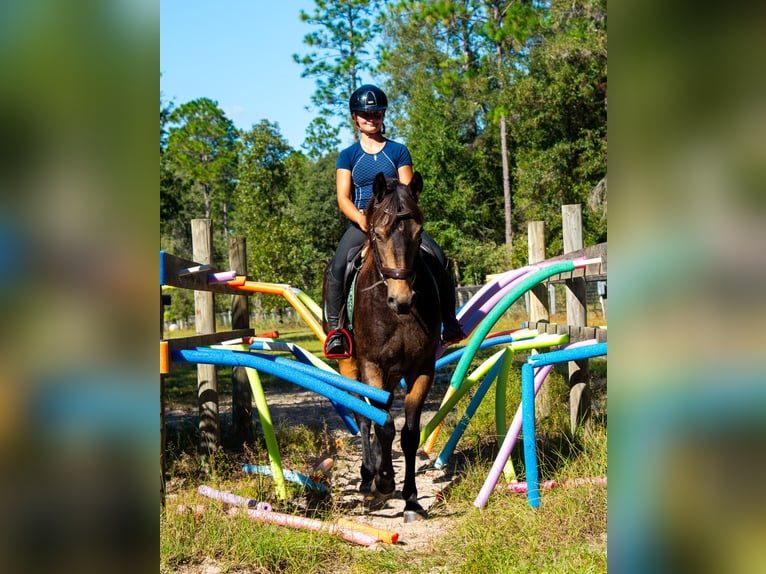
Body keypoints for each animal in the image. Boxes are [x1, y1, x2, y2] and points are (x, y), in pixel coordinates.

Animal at [323, 171, 441, 523]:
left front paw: (412, 500)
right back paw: (367, 477)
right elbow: (383, 426)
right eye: (377, 233)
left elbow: (409, 433)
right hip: (350, 364)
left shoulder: (421, 368)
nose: (401, 299)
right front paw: (385, 480)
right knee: (365, 417)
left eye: (418, 232)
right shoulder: (371, 364)